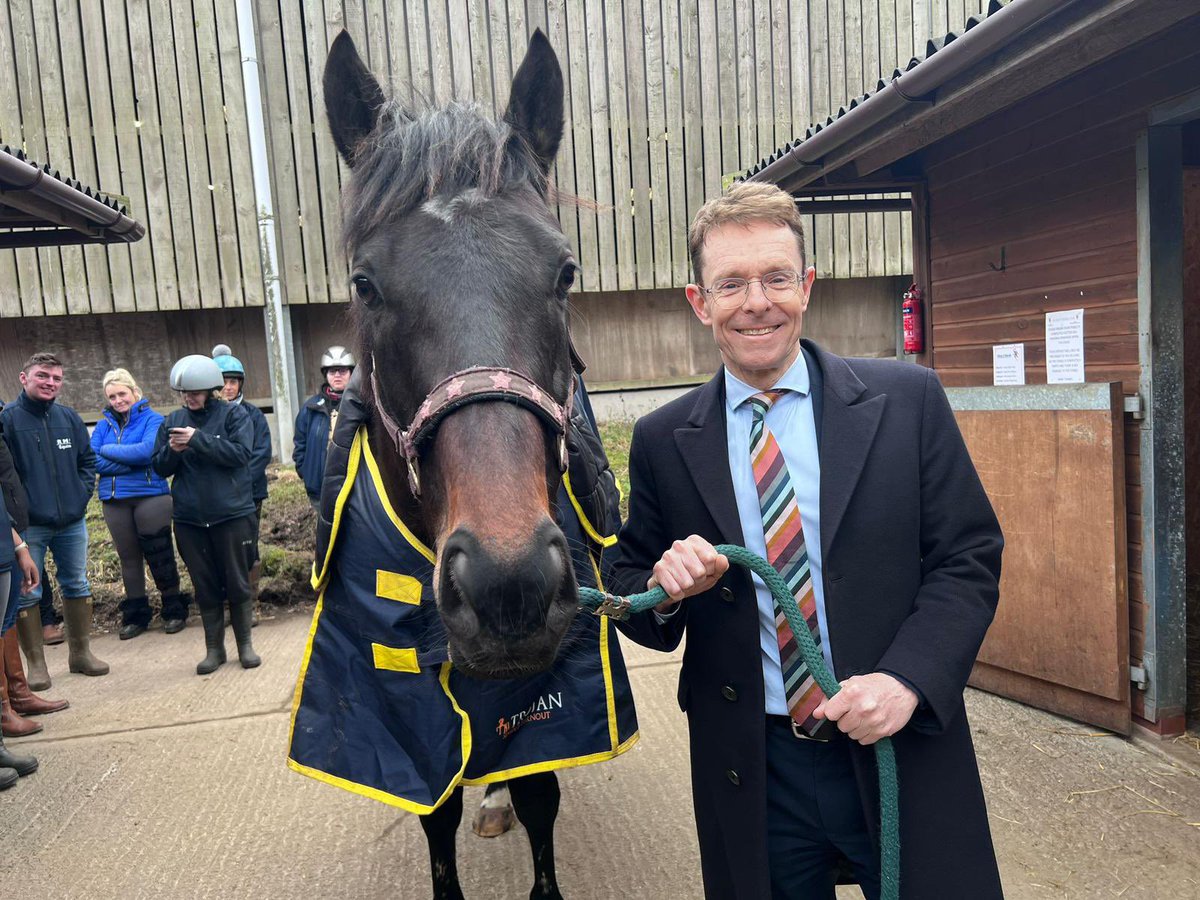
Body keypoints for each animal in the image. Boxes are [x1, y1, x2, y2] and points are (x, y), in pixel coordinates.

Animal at [320, 28, 608, 900]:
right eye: (366, 283)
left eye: (563, 272)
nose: (507, 582)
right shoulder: (397, 700)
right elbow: (434, 810)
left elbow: (540, 790)